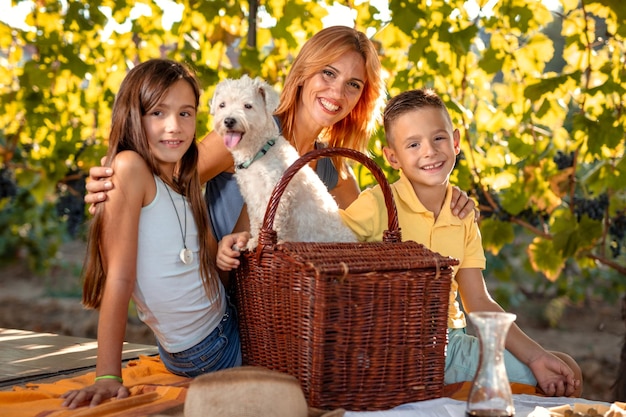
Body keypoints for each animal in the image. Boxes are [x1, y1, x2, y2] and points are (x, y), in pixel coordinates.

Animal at [211, 75, 354, 249]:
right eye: (222, 105)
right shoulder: (252, 197)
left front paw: (266, 242)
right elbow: (256, 221)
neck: (260, 152)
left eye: (248, 106)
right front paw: (253, 240)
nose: (229, 121)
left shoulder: (278, 195)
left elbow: (274, 223)